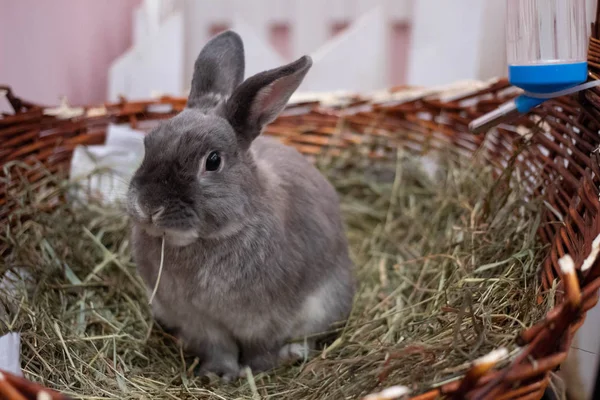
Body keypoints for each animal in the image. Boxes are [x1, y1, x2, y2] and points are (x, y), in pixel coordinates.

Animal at [125, 29, 354, 380]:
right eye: (149, 143)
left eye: (213, 161)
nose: (148, 205)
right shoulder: (198, 321)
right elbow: (218, 348)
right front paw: (217, 374)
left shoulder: (266, 321)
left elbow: (262, 349)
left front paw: (257, 371)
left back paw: (294, 354)